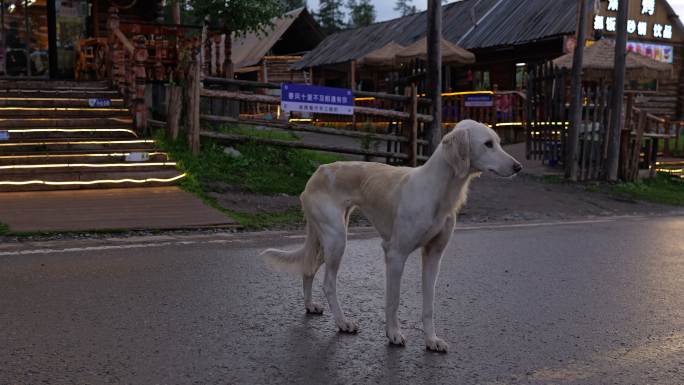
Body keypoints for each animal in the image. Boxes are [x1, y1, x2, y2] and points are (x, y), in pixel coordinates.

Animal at [260, 119, 520, 352]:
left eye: (498, 142)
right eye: (488, 144)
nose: (518, 167)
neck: (437, 190)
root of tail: (317, 172)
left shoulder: (434, 255)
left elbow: (429, 305)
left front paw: (431, 340)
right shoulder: (395, 254)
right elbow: (393, 301)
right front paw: (393, 334)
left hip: (326, 240)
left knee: (308, 269)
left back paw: (310, 305)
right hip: (336, 239)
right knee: (328, 283)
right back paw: (343, 322)